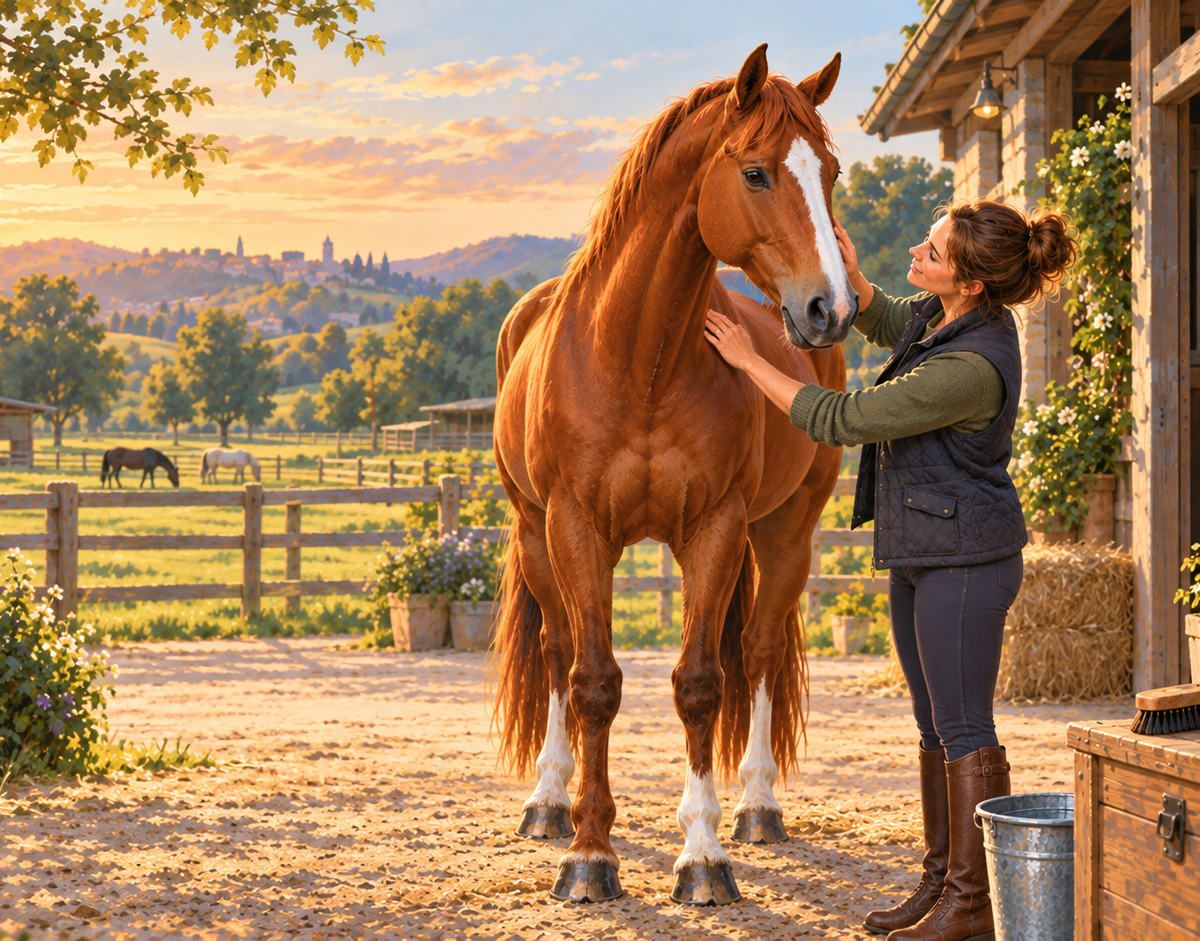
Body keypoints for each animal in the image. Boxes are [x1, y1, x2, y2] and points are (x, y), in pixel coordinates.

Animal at [491, 45, 856, 906]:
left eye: (828, 172)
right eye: (755, 172)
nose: (830, 308)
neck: (640, 355)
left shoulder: (716, 528)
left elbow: (700, 683)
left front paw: (703, 854)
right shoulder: (576, 527)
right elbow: (592, 681)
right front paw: (589, 852)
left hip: (785, 533)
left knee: (756, 654)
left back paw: (756, 806)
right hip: (532, 534)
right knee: (556, 652)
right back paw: (548, 801)